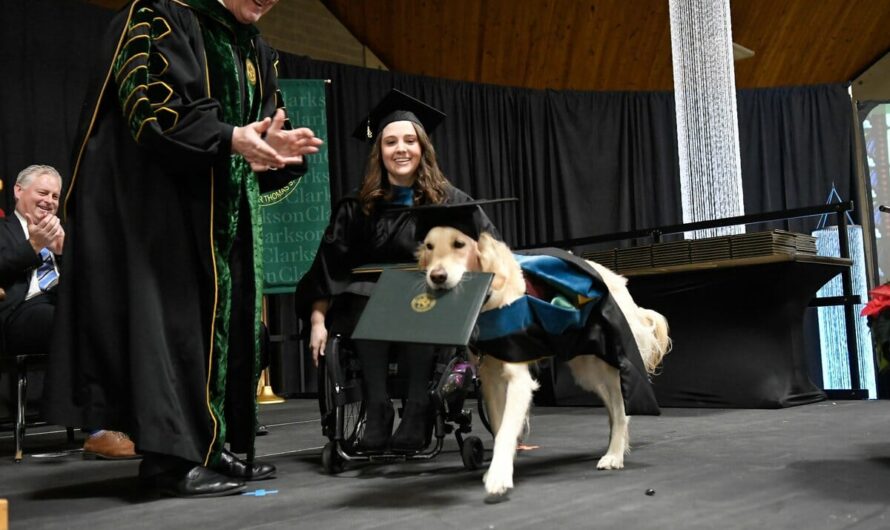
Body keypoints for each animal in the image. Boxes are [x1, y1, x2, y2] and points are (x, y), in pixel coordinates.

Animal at [416, 227, 664, 500]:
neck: (489, 298)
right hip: (585, 367)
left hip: (603, 362)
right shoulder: (490, 379)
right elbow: (499, 424)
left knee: (621, 409)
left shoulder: (519, 378)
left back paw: (614, 454)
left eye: (459, 244)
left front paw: (498, 476)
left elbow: (506, 429)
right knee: (612, 407)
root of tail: (619, 281)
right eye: (428, 246)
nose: (436, 277)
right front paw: (500, 467)